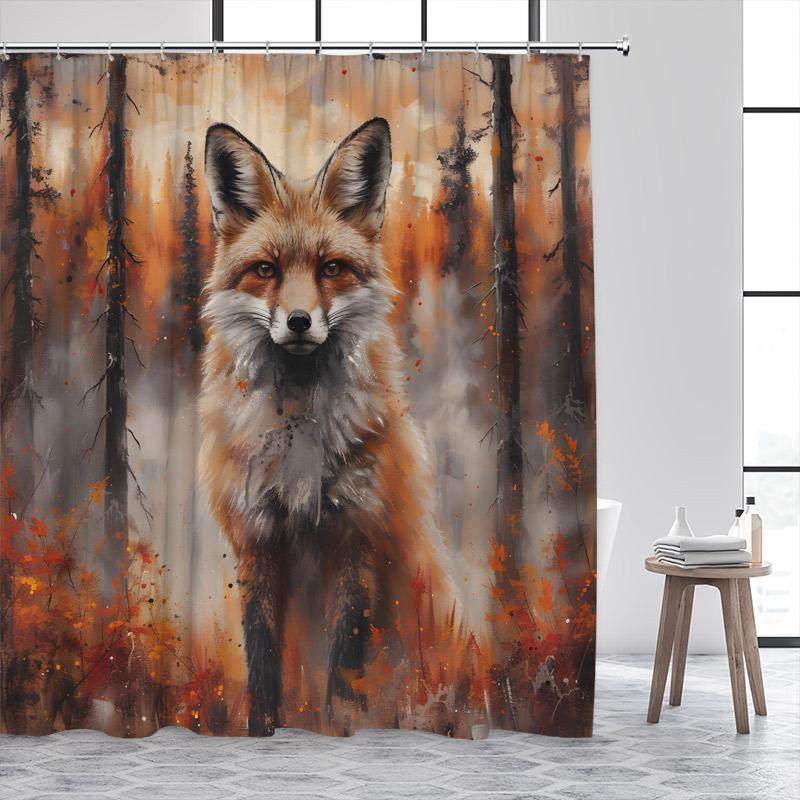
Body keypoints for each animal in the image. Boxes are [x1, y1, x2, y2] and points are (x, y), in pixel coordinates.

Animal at [198, 118, 452, 736]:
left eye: (330, 268)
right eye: (266, 270)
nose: (297, 321)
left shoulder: (358, 537)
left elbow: (344, 664)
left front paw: (339, 730)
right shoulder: (256, 538)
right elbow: (263, 655)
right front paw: (262, 732)